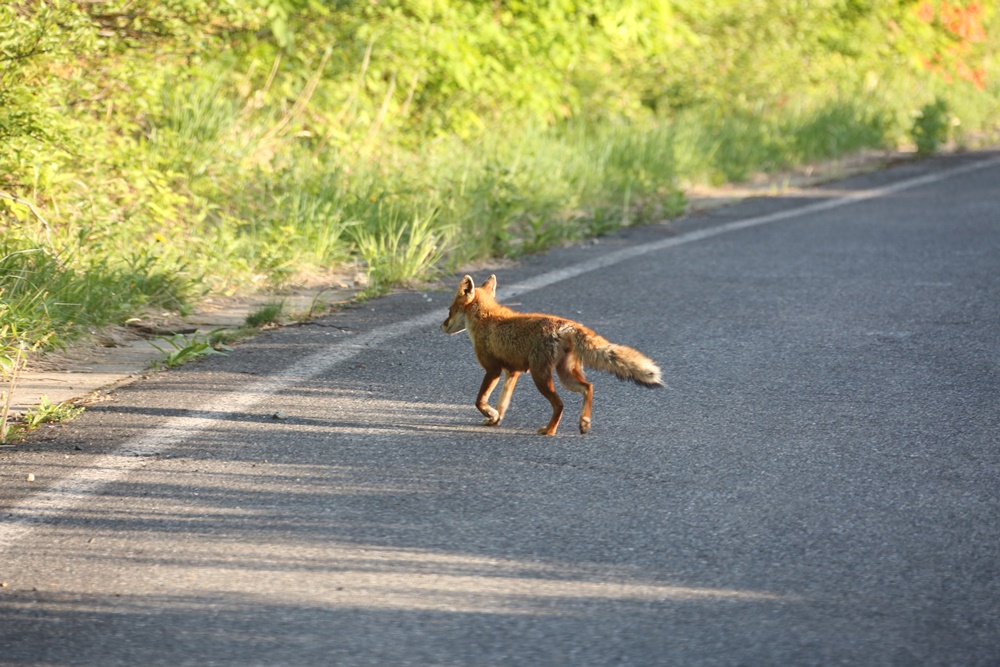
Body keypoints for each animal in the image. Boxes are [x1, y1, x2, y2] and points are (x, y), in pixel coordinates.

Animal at [440, 274, 664, 436]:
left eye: (449, 310)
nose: (441, 326)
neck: (486, 320)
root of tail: (566, 324)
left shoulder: (493, 369)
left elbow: (479, 401)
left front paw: (490, 414)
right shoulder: (512, 372)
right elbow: (502, 403)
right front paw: (495, 419)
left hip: (541, 377)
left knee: (560, 404)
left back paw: (549, 430)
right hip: (565, 375)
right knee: (588, 387)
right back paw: (584, 423)